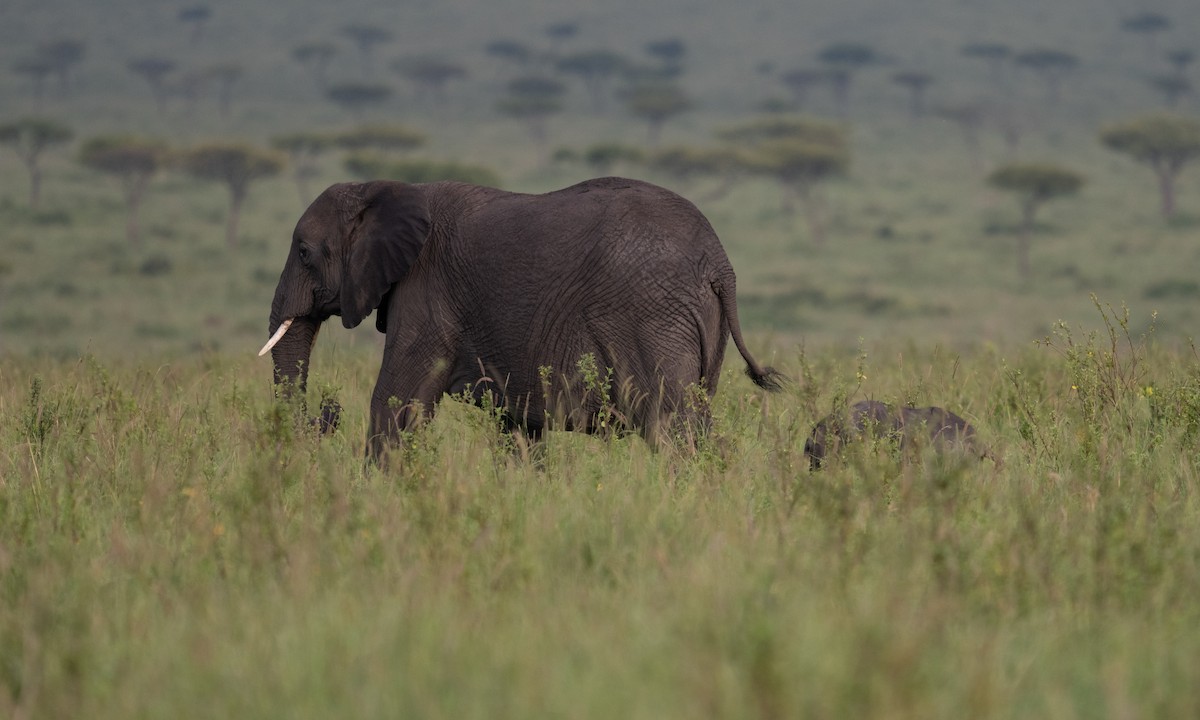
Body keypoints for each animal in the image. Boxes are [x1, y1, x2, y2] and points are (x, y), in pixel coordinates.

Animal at [259, 176, 783, 459]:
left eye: (304, 252)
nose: (327, 411)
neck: (384, 189)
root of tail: (719, 263)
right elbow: (520, 428)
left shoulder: (426, 291)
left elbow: (395, 400)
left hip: (653, 316)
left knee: (670, 425)